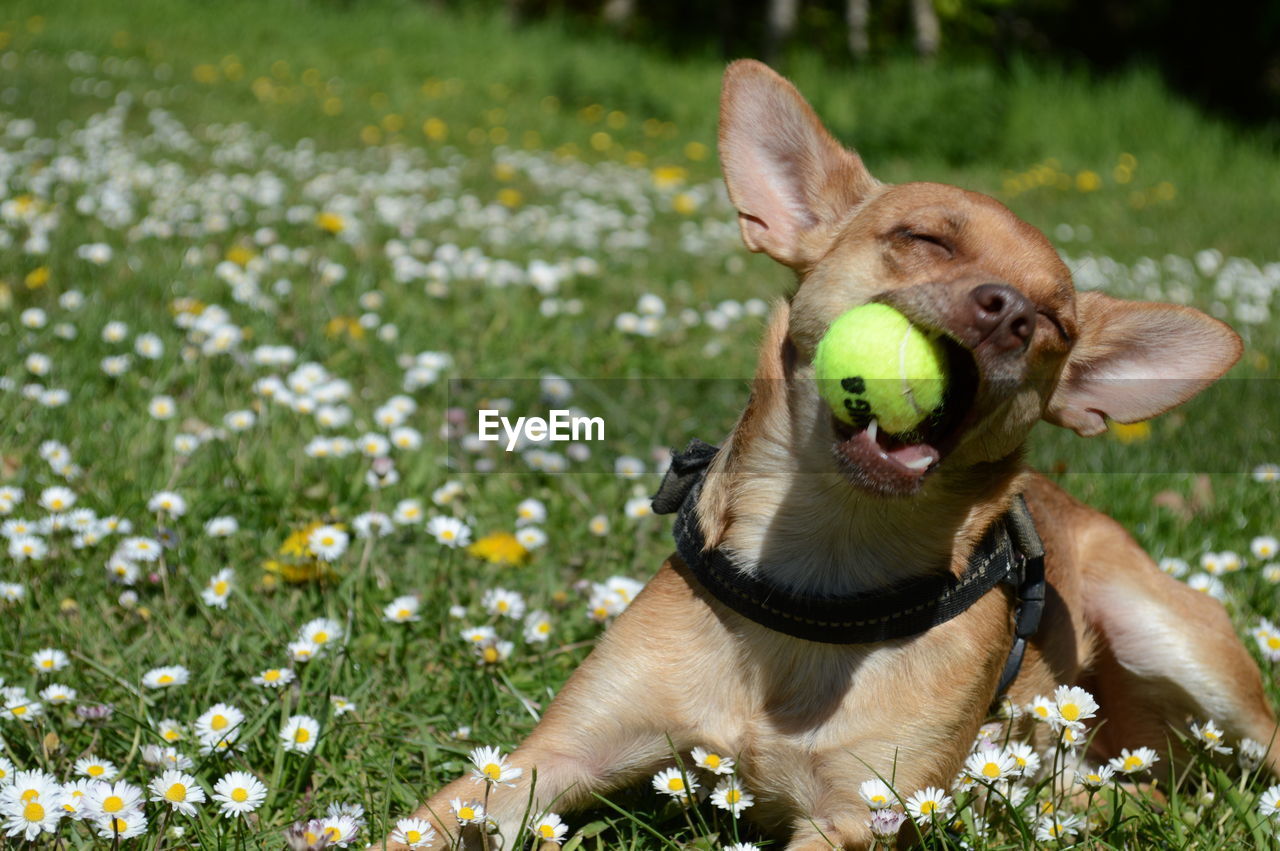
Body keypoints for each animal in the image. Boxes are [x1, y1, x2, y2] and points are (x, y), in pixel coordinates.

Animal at [381, 58, 1280, 844]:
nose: (1013, 314)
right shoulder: (548, 759)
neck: (824, 566)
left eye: (1056, 325)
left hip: (1179, 645)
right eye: (924, 240)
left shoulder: (855, 814)